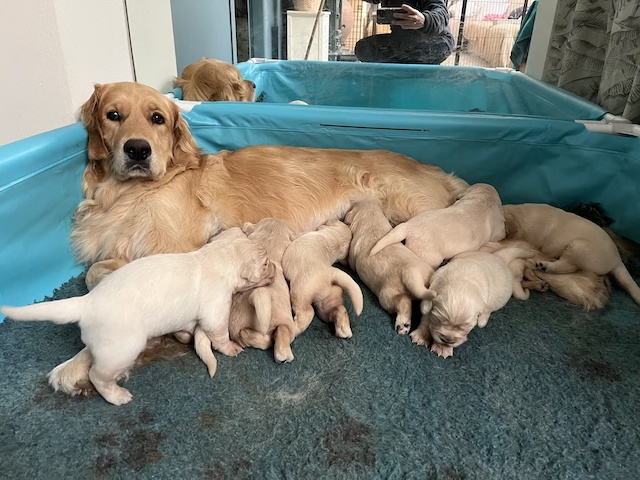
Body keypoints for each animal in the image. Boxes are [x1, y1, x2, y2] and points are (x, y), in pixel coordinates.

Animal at [1, 228, 275, 405]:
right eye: (265, 264)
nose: (274, 266)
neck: (216, 256)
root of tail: (86, 303)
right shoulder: (215, 310)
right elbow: (219, 334)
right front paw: (231, 348)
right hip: (121, 349)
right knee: (97, 375)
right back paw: (117, 396)